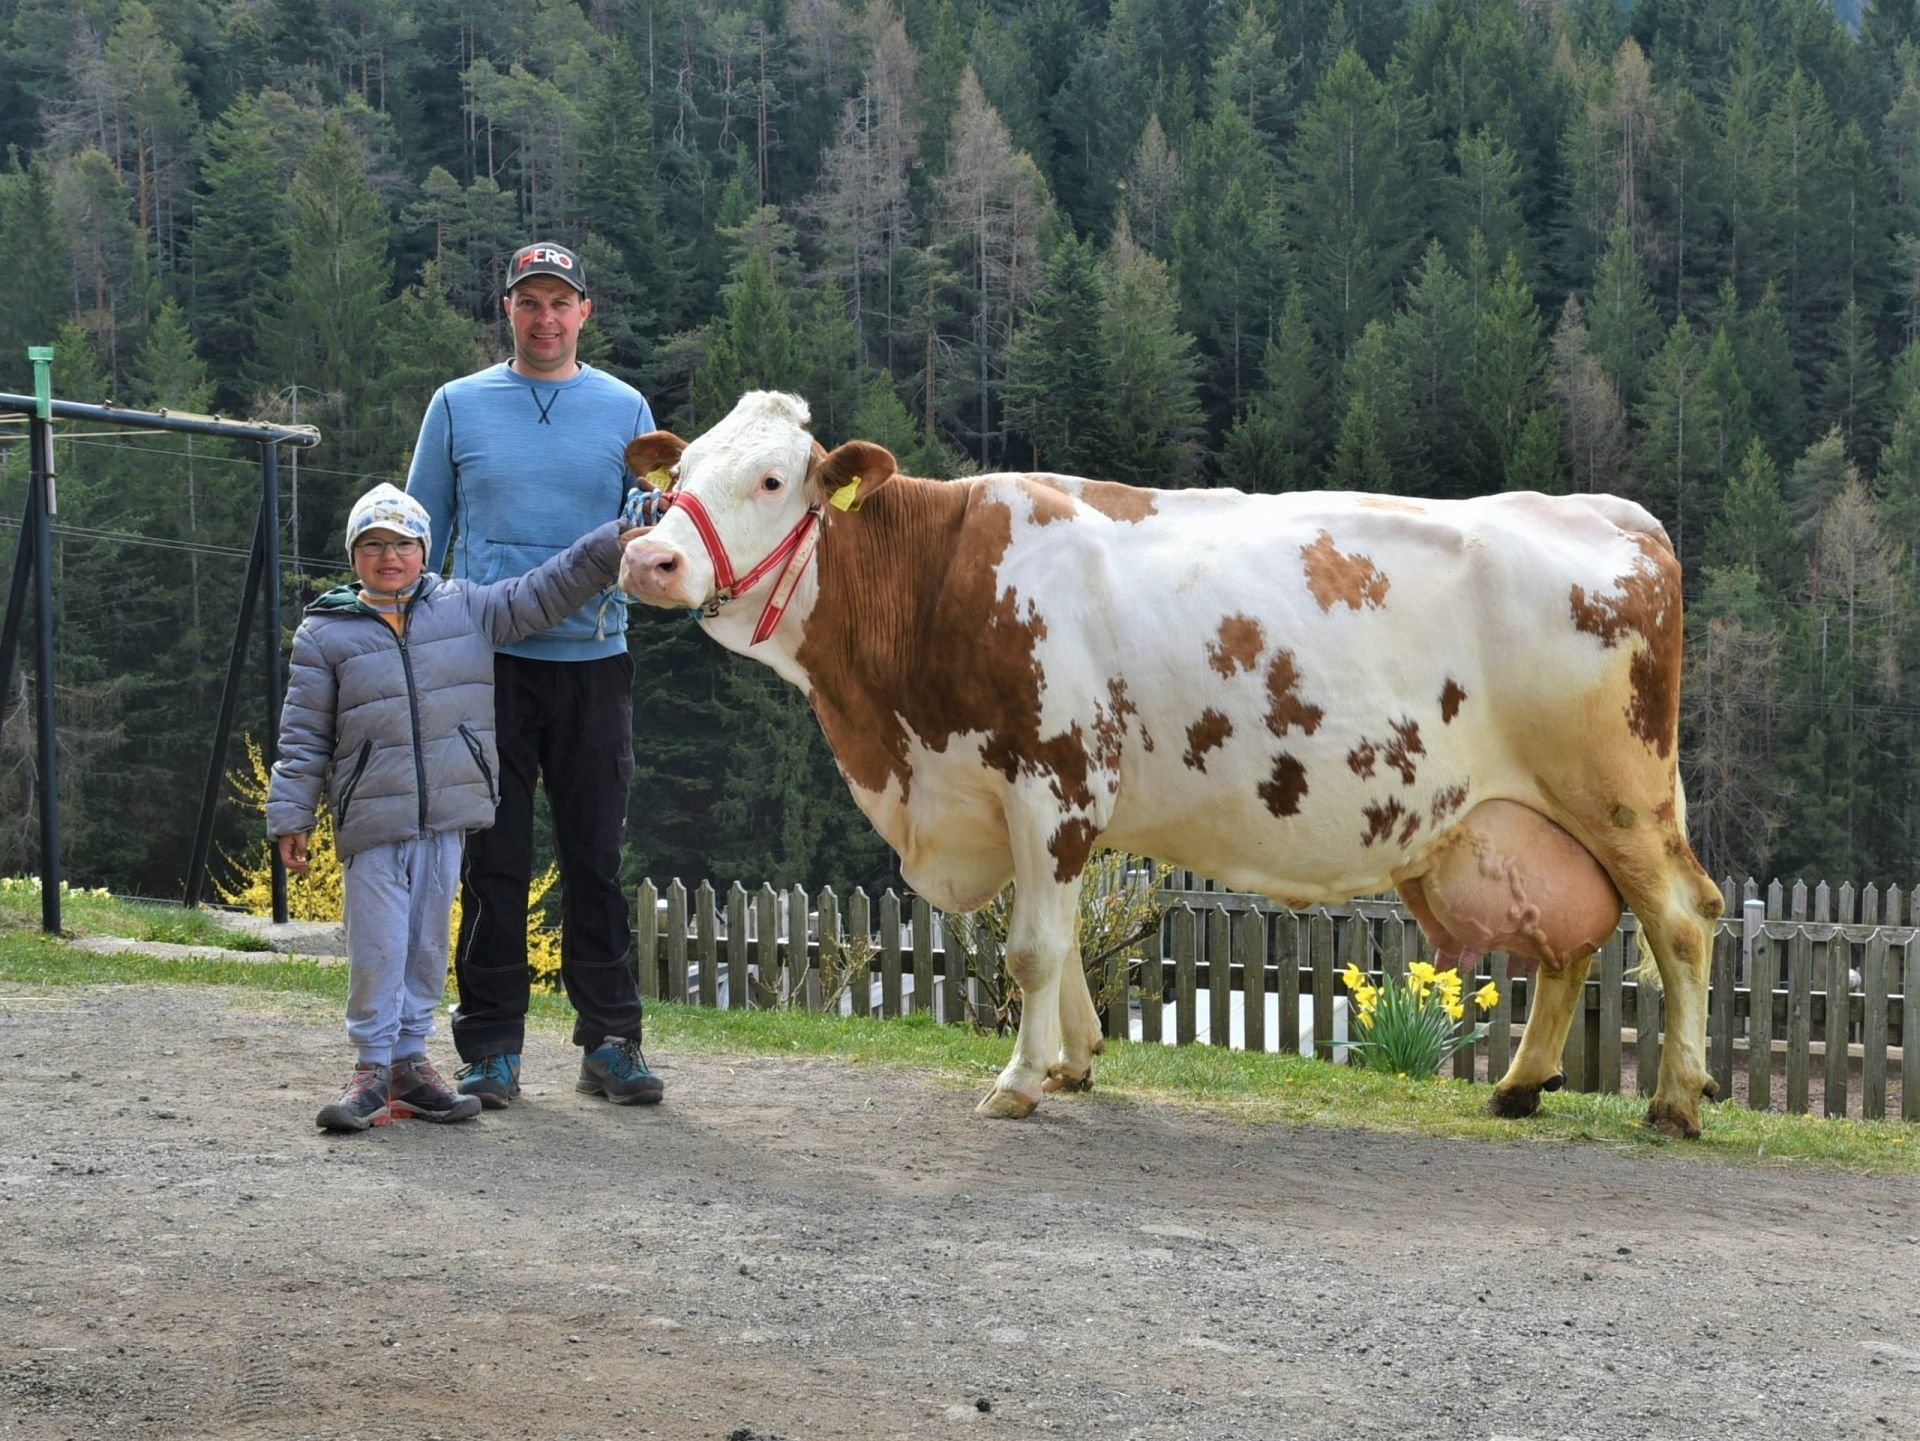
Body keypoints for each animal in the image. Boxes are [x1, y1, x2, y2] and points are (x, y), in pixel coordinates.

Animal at [618, 391, 1728, 1135]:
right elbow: (1061, 942)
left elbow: (1032, 946)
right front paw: (1073, 1061)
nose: (648, 558)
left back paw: (1675, 1100)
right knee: (1571, 936)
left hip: (1618, 792)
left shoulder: (1054, 780)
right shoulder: (1009, 795)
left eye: (770, 479)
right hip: (1535, 818)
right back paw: (1520, 1083)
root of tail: (1610, 512)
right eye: (680, 474)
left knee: (1680, 916)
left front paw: (1018, 1082)